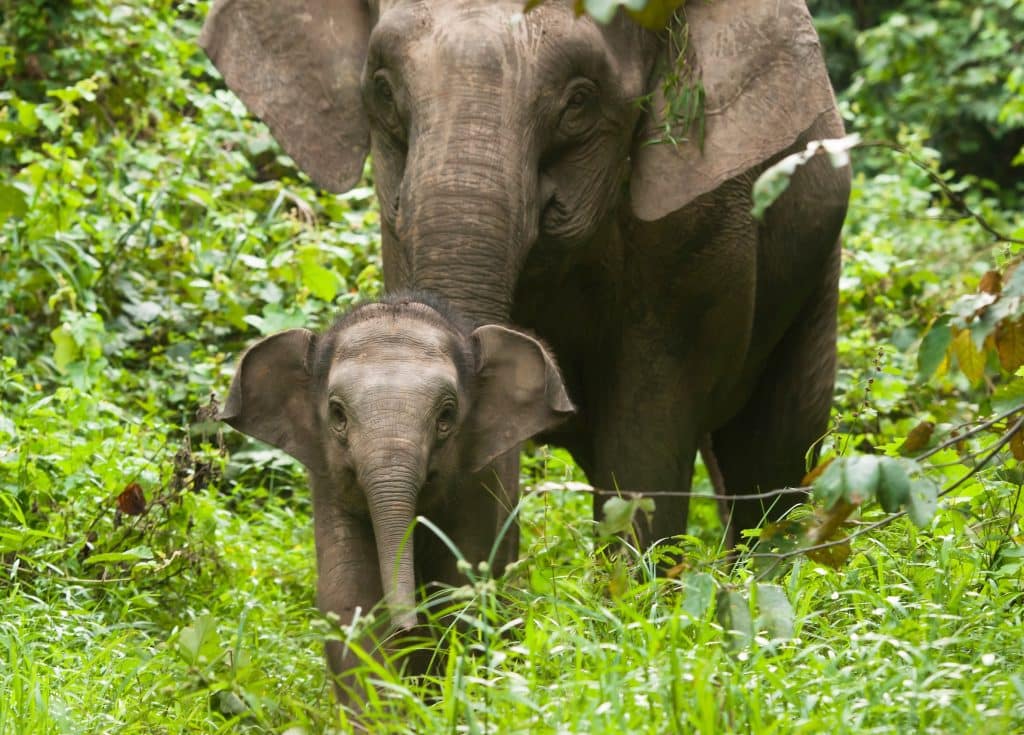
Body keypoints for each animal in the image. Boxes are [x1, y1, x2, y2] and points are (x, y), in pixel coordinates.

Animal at [220, 292, 573, 704]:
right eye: (337, 414)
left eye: (446, 416)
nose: (407, 626)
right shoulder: (329, 485)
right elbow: (350, 594)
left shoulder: (478, 483)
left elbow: (460, 590)